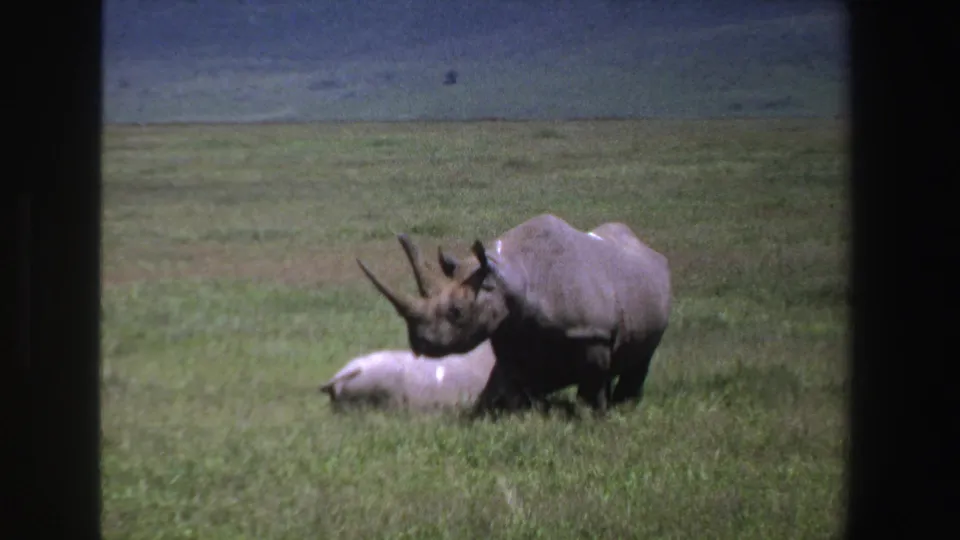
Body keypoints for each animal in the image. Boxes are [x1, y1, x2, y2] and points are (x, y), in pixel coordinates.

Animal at [356, 214, 672, 416]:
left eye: (457, 312)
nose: (419, 344)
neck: (510, 276)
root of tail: (645, 247)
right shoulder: (510, 331)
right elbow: (502, 387)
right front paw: (494, 414)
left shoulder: (591, 333)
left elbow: (590, 388)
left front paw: (591, 417)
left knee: (641, 358)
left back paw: (624, 406)